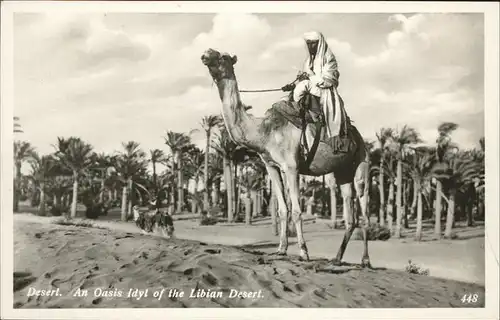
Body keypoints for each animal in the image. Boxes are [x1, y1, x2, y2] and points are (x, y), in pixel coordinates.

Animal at [200, 48, 372, 268]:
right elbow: (283, 209)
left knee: (364, 207)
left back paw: (365, 260)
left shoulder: (291, 166)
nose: (206, 54)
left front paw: (303, 252)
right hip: (341, 171)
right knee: (350, 216)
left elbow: (297, 210)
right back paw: (337, 258)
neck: (263, 132)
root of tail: (358, 136)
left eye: (223, 56)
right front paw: (281, 249)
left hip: (362, 162)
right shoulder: (271, 166)